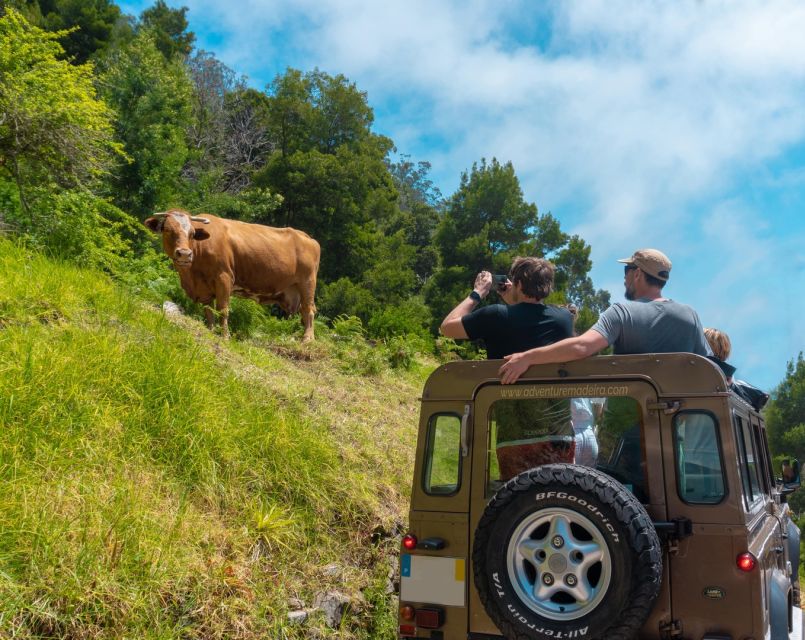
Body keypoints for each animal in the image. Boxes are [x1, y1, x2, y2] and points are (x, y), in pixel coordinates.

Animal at [144, 209, 320, 340]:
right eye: (167, 230)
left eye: (192, 233)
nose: (185, 254)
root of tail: (307, 237)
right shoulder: (203, 289)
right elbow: (209, 311)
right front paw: (211, 329)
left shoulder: (224, 277)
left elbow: (223, 309)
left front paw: (225, 335)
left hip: (307, 283)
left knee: (308, 310)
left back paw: (307, 339)